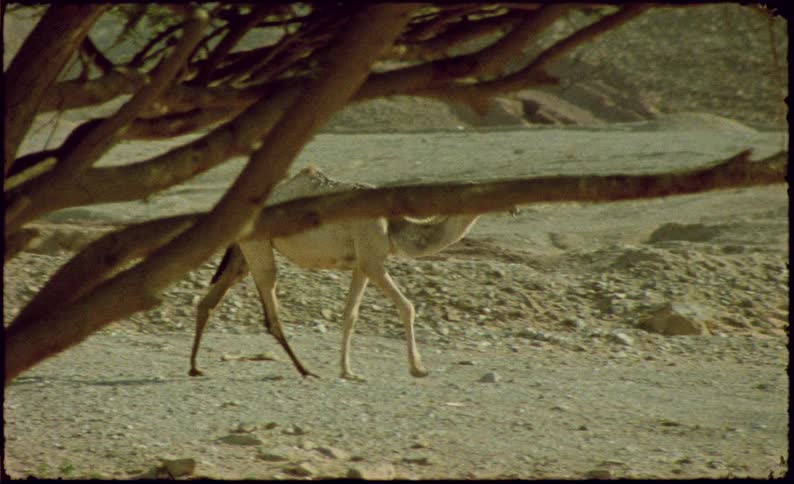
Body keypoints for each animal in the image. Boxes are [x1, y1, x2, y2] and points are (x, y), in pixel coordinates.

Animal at [189, 166, 486, 381]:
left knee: (212, 298)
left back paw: (195, 367)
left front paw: (348, 371)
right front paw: (418, 369)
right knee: (270, 301)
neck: (393, 224)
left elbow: (350, 315)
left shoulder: (361, 265)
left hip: (243, 252)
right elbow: (407, 306)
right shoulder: (372, 259)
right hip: (257, 243)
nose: (504, 205)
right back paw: (305, 370)